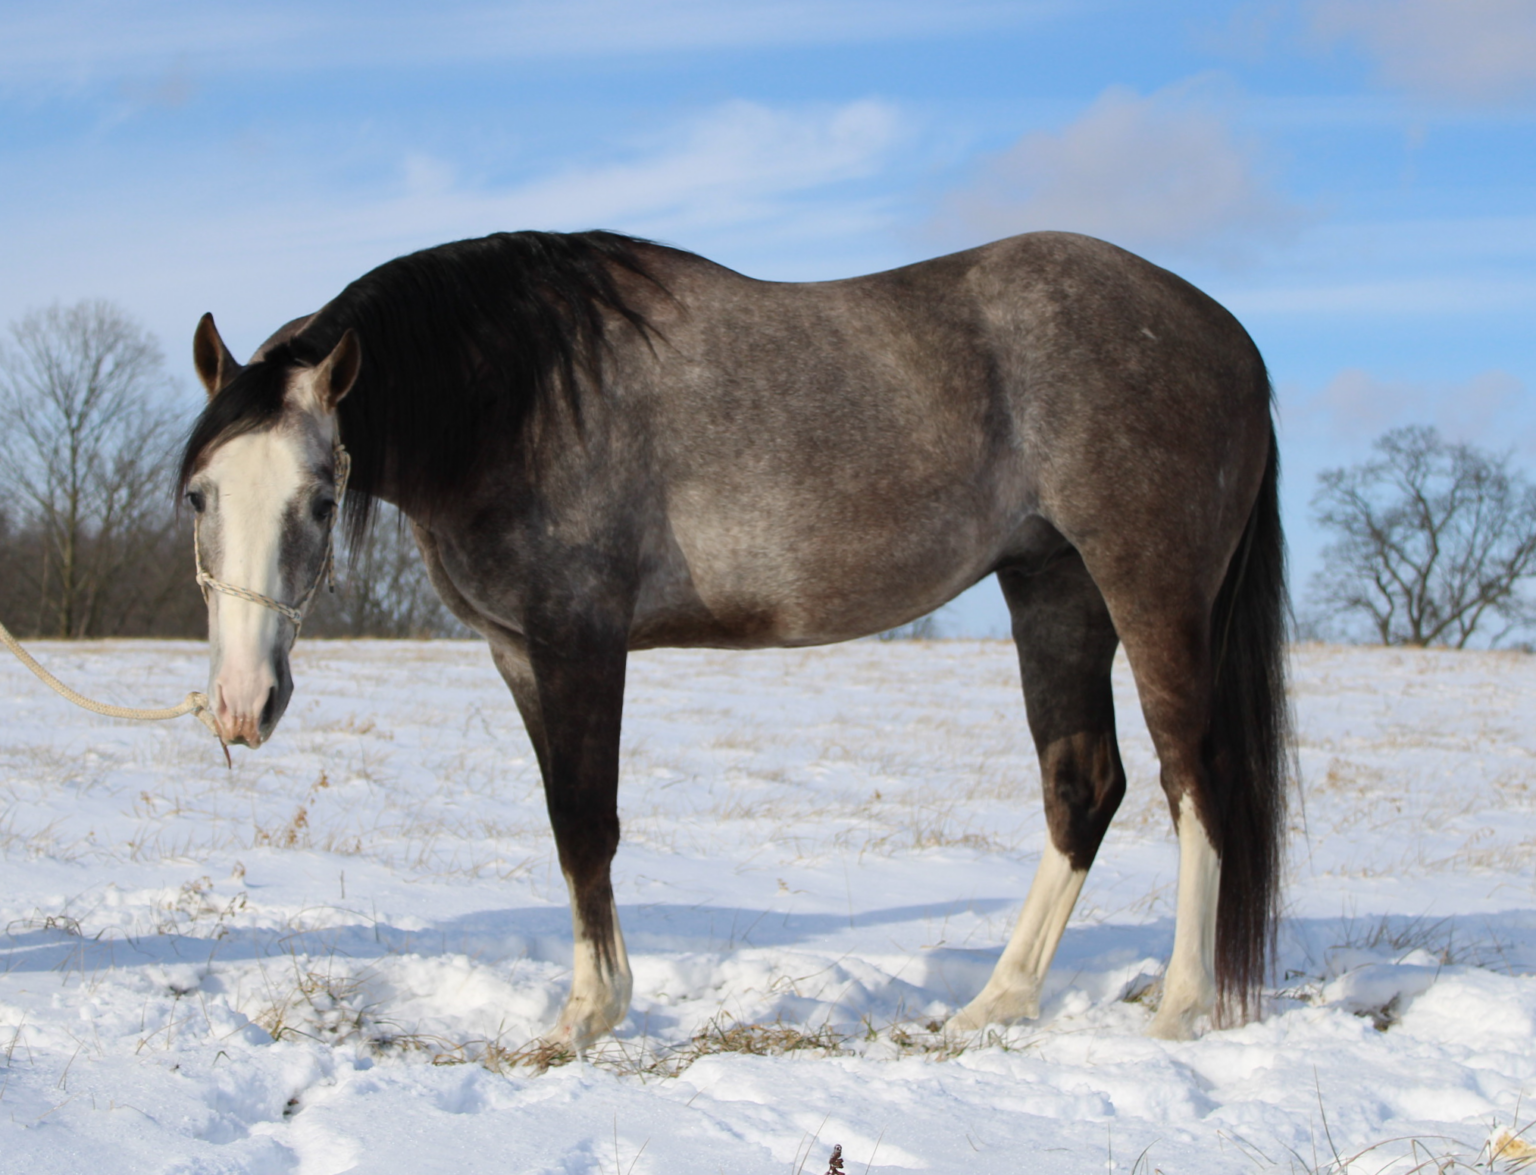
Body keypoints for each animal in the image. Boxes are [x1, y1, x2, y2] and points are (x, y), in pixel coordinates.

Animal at [178, 229, 1290, 1047]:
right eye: (198, 495)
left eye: (320, 500)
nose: (241, 703)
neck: (516, 397)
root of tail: (1229, 338)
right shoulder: (518, 651)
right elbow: (566, 826)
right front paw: (584, 1010)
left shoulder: (581, 642)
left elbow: (588, 823)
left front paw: (590, 1016)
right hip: (1054, 590)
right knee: (1083, 784)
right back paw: (994, 1003)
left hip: (1148, 590)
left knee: (1193, 775)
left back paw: (1180, 1006)